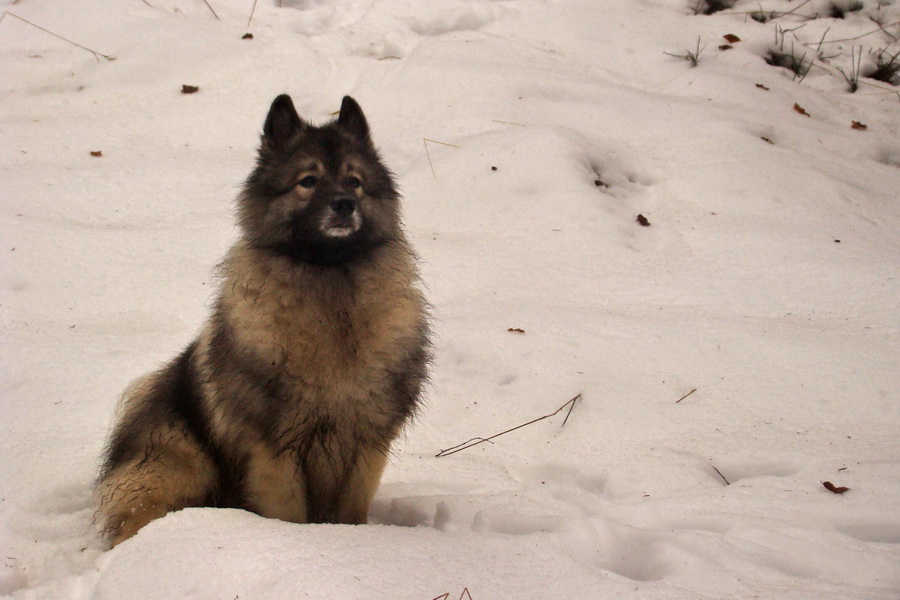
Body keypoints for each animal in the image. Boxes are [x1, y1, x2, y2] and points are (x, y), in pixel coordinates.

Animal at [97, 92, 432, 544]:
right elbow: (288, 515)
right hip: (178, 462)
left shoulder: (366, 444)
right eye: (308, 181)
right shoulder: (276, 449)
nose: (344, 205)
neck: (329, 280)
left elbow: (350, 513)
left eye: (354, 181)